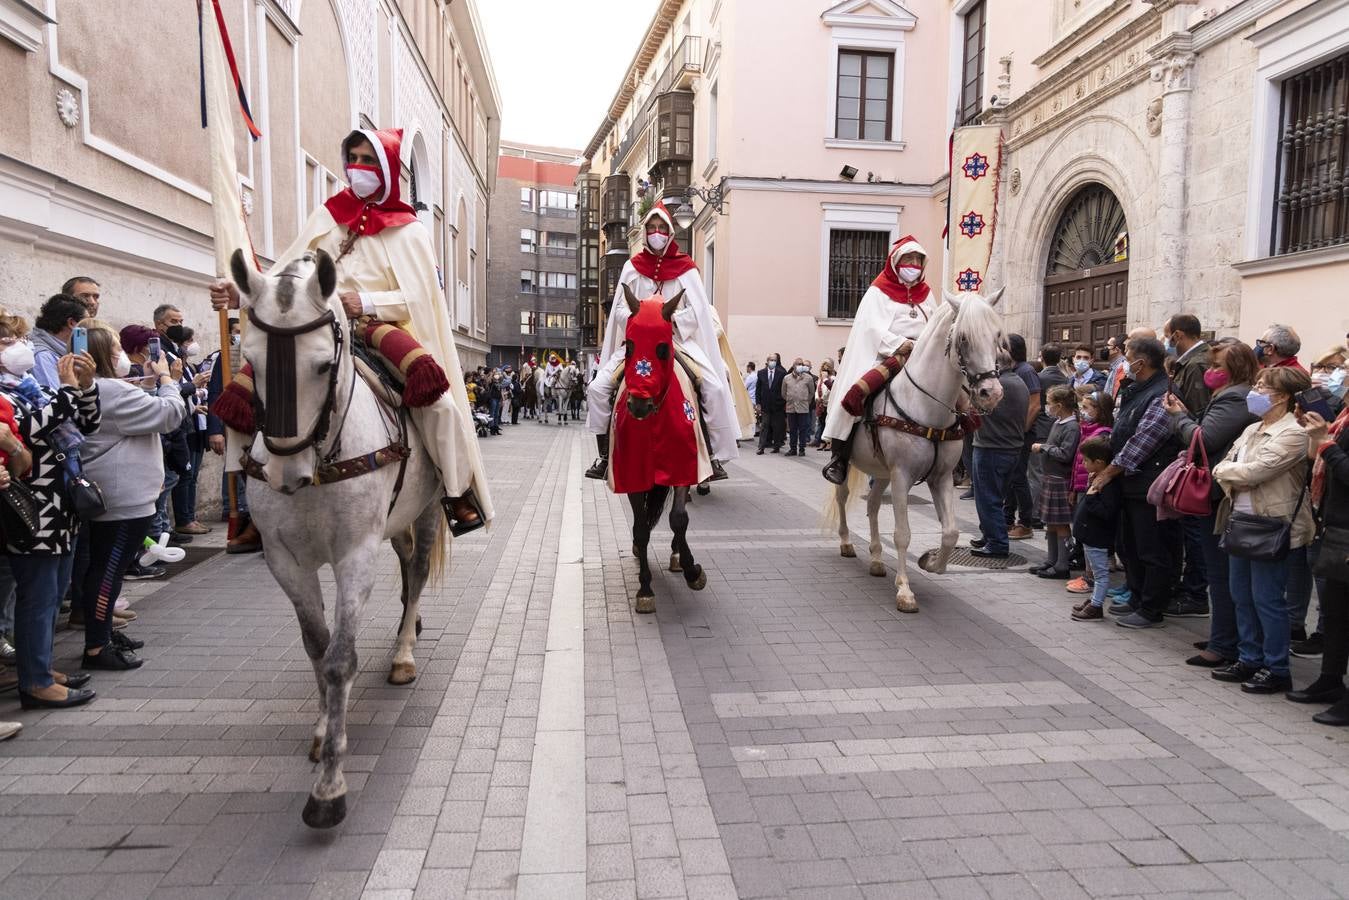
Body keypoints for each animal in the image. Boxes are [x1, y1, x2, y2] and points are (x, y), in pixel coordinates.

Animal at [229, 248, 445, 831]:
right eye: (250, 361)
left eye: (324, 365)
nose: (285, 473)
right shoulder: (285, 561)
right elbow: (316, 644)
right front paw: (325, 726)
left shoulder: (355, 556)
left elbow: (340, 658)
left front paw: (329, 789)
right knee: (407, 567)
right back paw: (409, 621)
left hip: (427, 508)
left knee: (418, 569)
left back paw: (404, 653)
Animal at [825, 288, 1009, 612]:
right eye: (963, 338)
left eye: (997, 335)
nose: (992, 393)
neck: (928, 406)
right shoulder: (902, 476)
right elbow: (902, 535)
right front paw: (905, 591)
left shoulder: (942, 477)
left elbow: (950, 532)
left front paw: (931, 562)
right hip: (852, 466)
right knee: (843, 497)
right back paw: (847, 543)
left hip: (881, 472)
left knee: (873, 505)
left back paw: (876, 558)